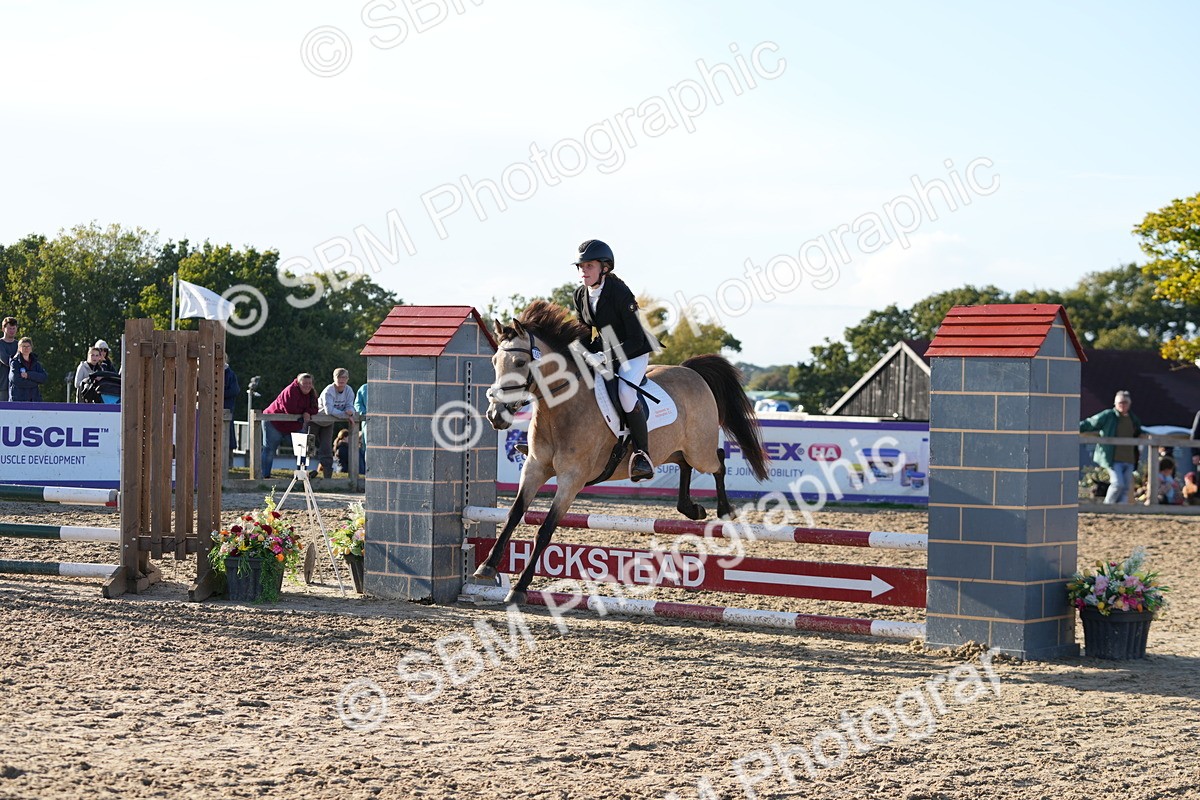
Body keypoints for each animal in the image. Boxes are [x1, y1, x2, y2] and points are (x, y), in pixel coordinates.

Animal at [476, 300, 770, 604]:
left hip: (700, 450)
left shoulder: (572, 479)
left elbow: (545, 530)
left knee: (718, 461)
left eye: (521, 363)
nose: (495, 415)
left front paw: (520, 588)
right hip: (674, 449)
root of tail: (691, 371)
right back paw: (691, 507)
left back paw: (725, 510)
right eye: (494, 362)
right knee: (683, 464)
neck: (560, 409)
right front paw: (486, 567)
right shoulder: (534, 468)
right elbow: (513, 515)